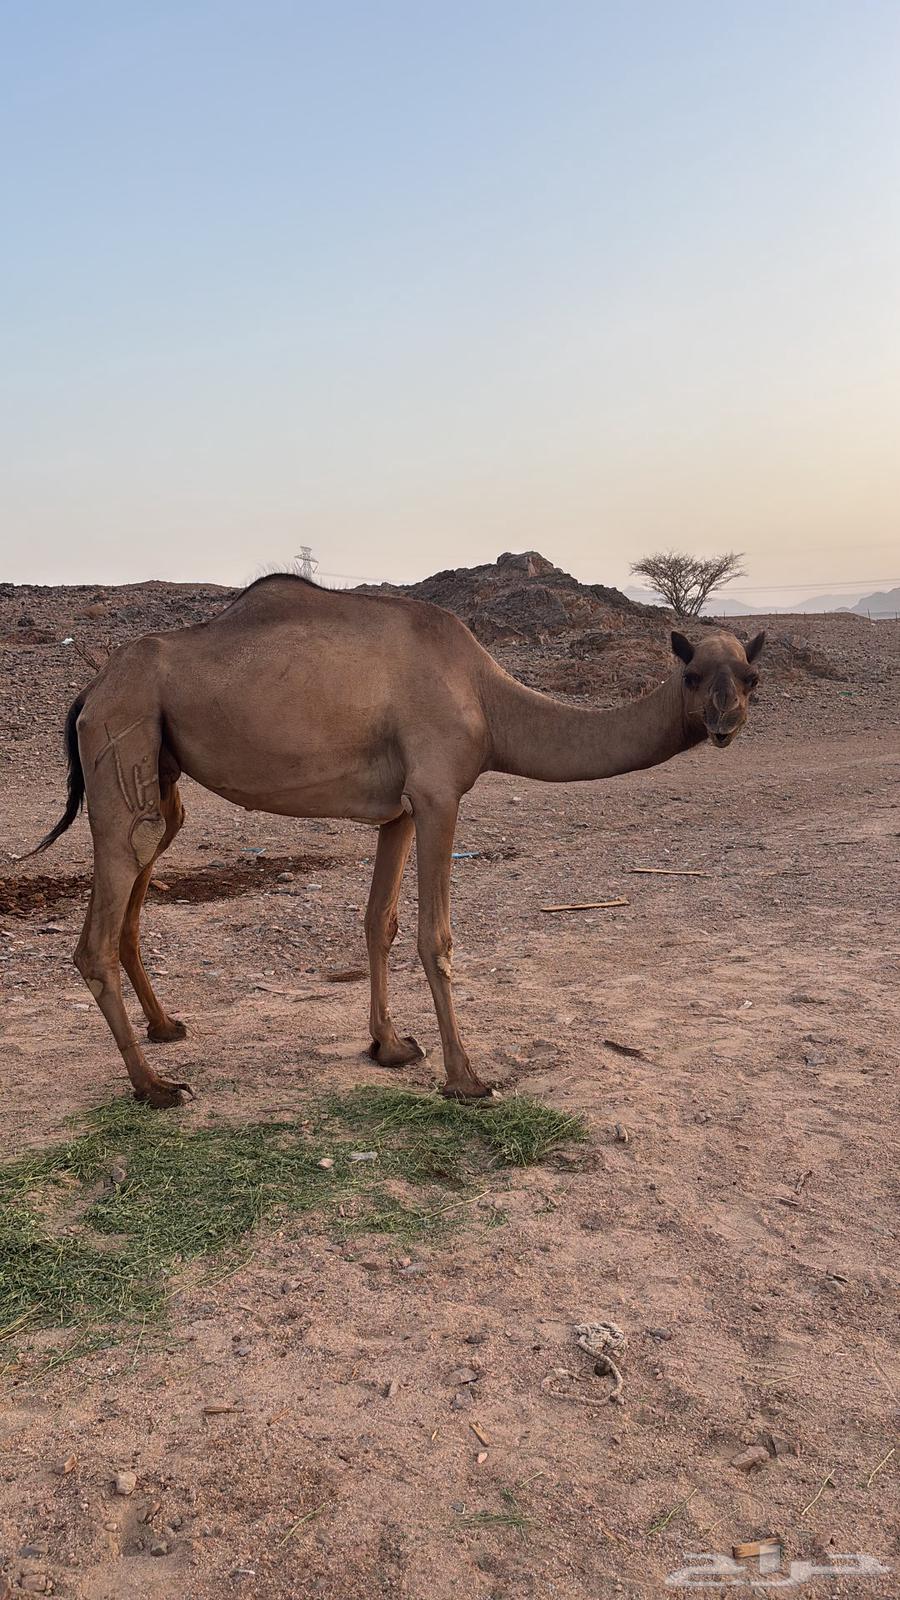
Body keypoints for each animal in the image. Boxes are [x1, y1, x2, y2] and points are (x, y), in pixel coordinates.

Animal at [33, 575, 764, 1107]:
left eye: (751, 679)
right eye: (692, 676)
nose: (724, 723)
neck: (487, 699)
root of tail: (91, 689)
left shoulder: (401, 810)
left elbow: (377, 922)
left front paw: (388, 1046)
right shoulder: (440, 793)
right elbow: (434, 937)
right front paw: (466, 1078)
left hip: (160, 769)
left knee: (144, 871)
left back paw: (166, 1029)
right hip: (124, 731)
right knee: (105, 912)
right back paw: (153, 1086)